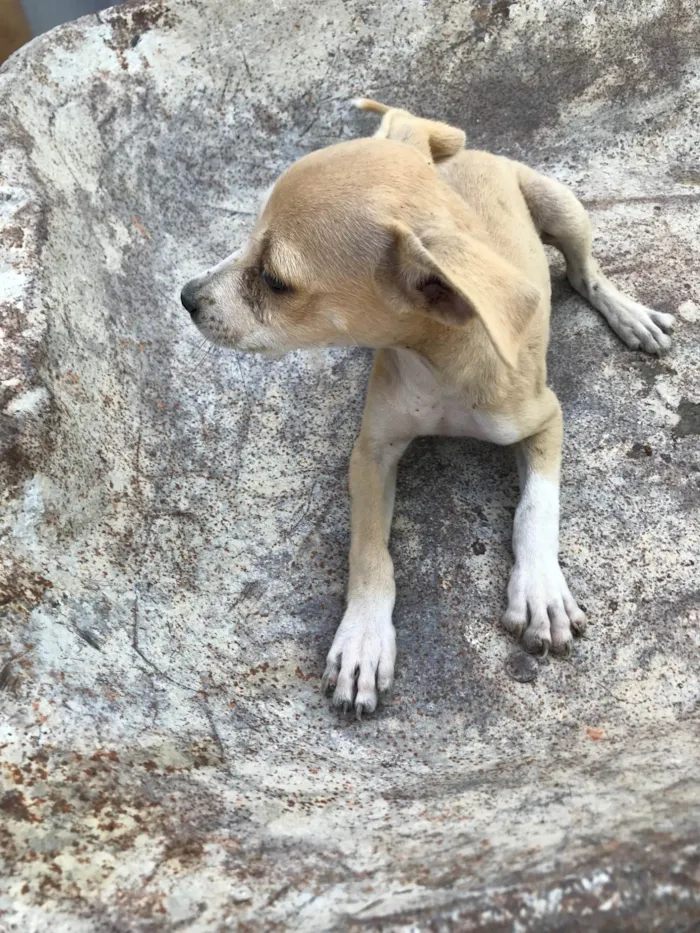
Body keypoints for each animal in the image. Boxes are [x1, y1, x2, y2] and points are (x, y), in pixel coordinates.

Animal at [183, 98, 676, 716]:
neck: (438, 361)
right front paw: (363, 639)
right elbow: (371, 552)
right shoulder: (371, 452)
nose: (186, 297)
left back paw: (629, 313)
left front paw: (540, 587)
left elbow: (537, 505)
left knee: (587, 273)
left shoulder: (545, 417)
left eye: (275, 280)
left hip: (563, 207)